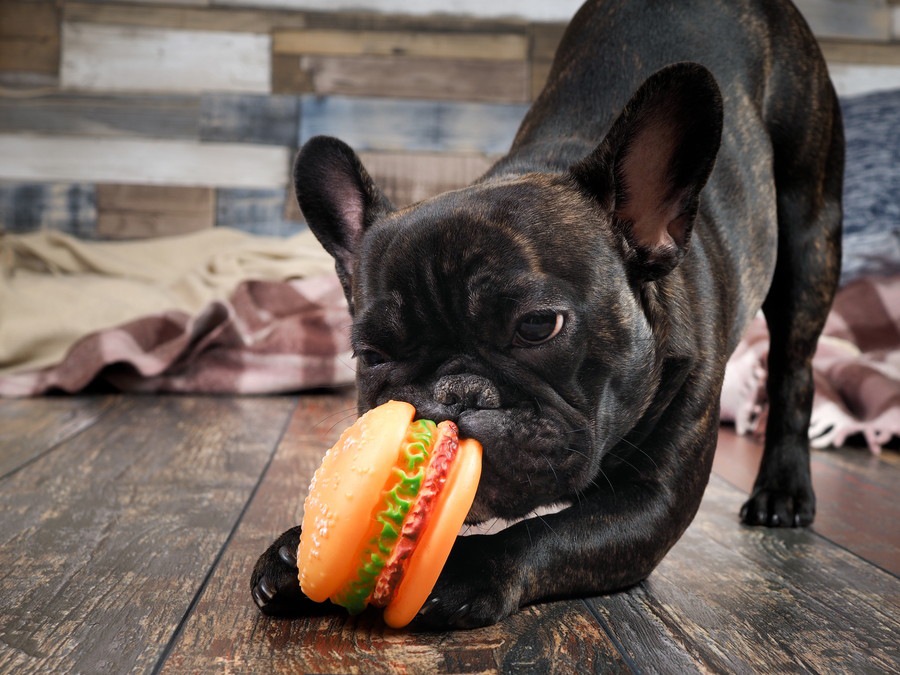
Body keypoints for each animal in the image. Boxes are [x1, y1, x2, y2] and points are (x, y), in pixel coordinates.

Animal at [248, 0, 844, 628]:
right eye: (371, 355)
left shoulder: (650, 498)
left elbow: (547, 535)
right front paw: (296, 547)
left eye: (538, 327)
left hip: (810, 239)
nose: (454, 395)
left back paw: (783, 489)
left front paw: (460, 568)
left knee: (794, 370)